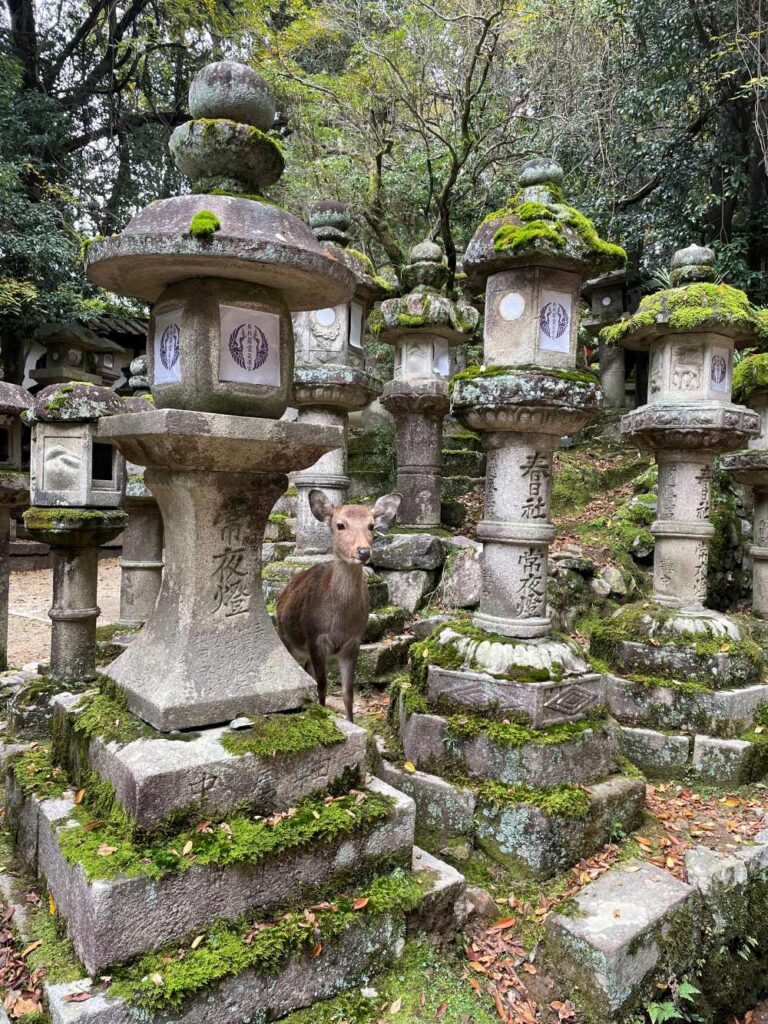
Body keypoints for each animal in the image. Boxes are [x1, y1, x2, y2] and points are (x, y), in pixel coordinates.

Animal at [276, 490, 402, 722]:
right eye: (340, 525)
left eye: (371, 525)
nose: (363, 552)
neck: (339, 624)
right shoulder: (315, 638)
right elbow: (322, 687)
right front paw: (322, 713)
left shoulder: (353, 642)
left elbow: (347, 693)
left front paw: (351, 722)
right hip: (287, 639)